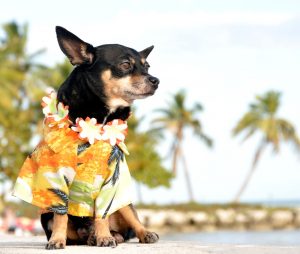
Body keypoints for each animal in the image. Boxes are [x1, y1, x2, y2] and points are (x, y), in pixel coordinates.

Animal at [12, 25, 159, 248]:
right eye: (125, 65)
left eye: (147, 66)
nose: (155, 80)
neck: (99, 122)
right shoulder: (57, 180)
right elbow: (61, 215)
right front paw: (57, 240)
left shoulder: (111, 181)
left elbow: (102, 215)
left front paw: (105, 237)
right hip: (47, 216)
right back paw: (88, 237)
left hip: (122, 202)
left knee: (130, 216)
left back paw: (133, 234)